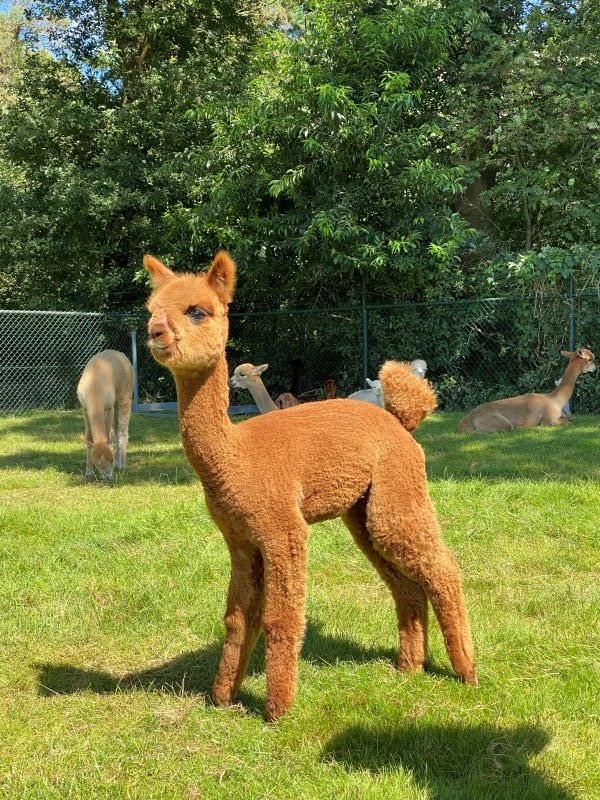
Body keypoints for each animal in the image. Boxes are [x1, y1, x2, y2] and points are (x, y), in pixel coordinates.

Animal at [77, 349, 134, 480]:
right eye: (97, 463)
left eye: (111, 460)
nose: (107, 477)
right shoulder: (85, 408)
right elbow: (88, 437)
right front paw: (88, 472)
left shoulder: (109, 407)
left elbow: (109, 434)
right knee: (117, 429)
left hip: (125, 396)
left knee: (122, 430)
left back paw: (121, 465)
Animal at [143, 251, 476, 720]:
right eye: (151, 310)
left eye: (197, 311)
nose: (155, 332)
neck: (237, 456)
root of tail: (398, 419)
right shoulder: (241, 539)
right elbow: (237, 617)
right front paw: (223, 698)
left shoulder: (282, 529)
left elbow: (282, 618)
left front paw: (277, 710)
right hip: (363, 512)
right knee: (406, 584)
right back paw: (409, 667)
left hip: (397, 492)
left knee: (443, 568)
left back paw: (466, 671)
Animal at [458, 348, 596, 433]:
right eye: (590, 359)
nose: (595, 367)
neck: (556, 400)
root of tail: (470, 415)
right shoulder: (549, 420)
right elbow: (566, 423)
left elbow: (571, 420)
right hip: (498, 422)